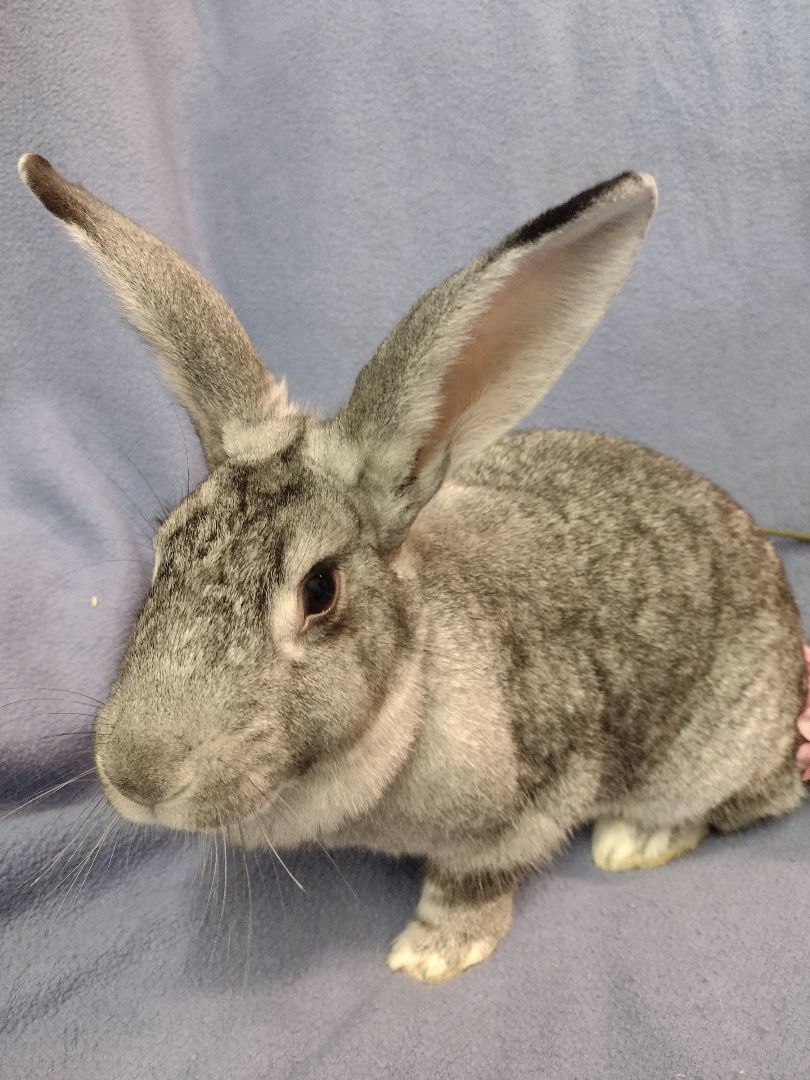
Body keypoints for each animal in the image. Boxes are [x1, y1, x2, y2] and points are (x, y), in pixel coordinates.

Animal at [18, 153, 807, 984]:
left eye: (320, 590)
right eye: (166, 546)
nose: (136, 776)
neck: (411, 692)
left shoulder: (534, 799)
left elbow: (473, 878)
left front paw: (428, 957)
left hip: (716, 753)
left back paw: (634, 841)